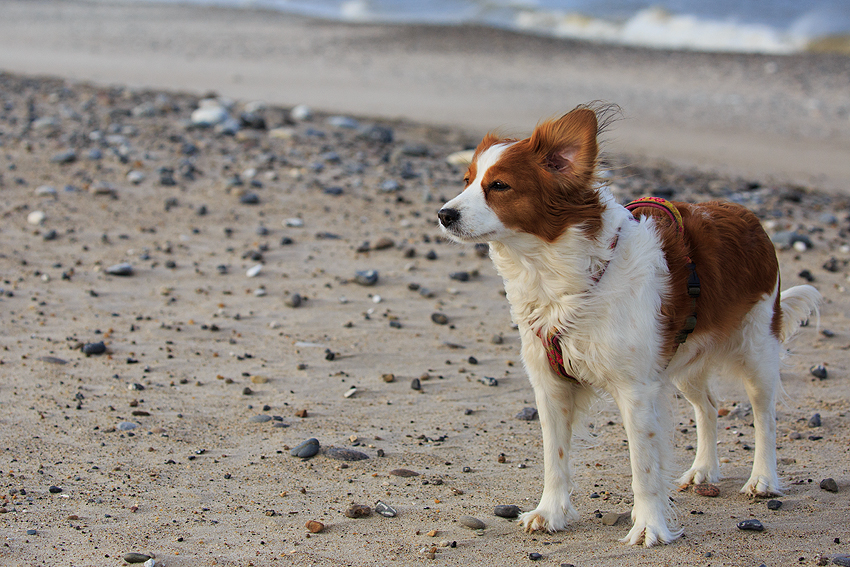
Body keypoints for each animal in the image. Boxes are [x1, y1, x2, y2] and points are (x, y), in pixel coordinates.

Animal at [434, 105, 820, 544]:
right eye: (466, 181)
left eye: (499, 185)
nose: (444, 214)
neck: (562, 280)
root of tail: (748, 216)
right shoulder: (551, 386)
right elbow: (555, 458)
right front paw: (550, 512)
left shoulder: (637, 390)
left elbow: (645, 469)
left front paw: (649, 525)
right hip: (683, 359)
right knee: (709, 406)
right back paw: (704, 469)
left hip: (756, 350)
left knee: (764, 416)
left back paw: (763, 479)